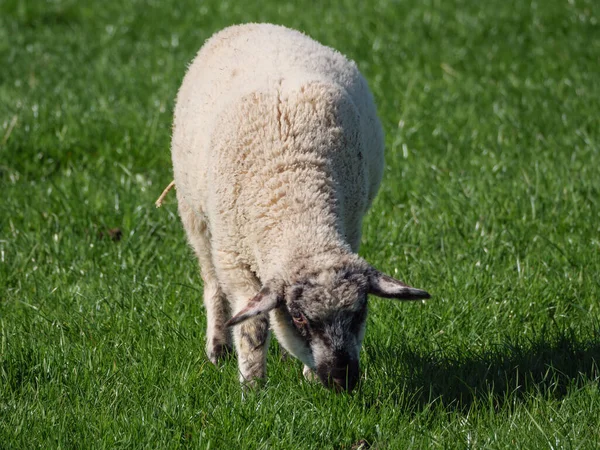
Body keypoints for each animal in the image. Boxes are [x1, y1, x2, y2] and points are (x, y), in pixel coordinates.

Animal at [170, 23, 432, 390]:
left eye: (360, 314)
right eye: (299, 318)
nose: (342, 380)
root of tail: (257, 24)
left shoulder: (350, 229)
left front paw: (307, 378)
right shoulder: (234, 259)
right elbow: (252, 327)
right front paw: (252, 386)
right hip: (195, 217)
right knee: (212, 284)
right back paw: (217, 348)